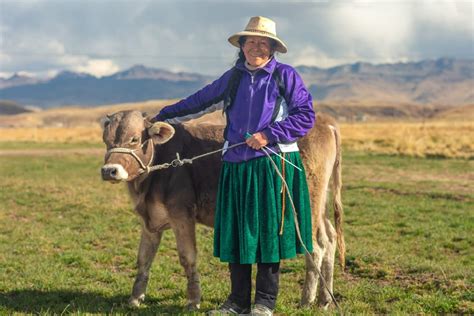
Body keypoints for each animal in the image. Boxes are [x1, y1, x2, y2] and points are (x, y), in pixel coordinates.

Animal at [100, 110, 344, 312]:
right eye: (106, 140)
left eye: (134, 139)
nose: (109, 170)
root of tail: (326, 122)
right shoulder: (150, 220)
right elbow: (143, 259)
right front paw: (135, 298)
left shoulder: (182, 215)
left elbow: (187, 257)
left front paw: (193, 300)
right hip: (320, 205)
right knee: (330, 238)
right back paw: (325, 299)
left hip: (306, 206)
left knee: (316, 248)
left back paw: (307, 300)